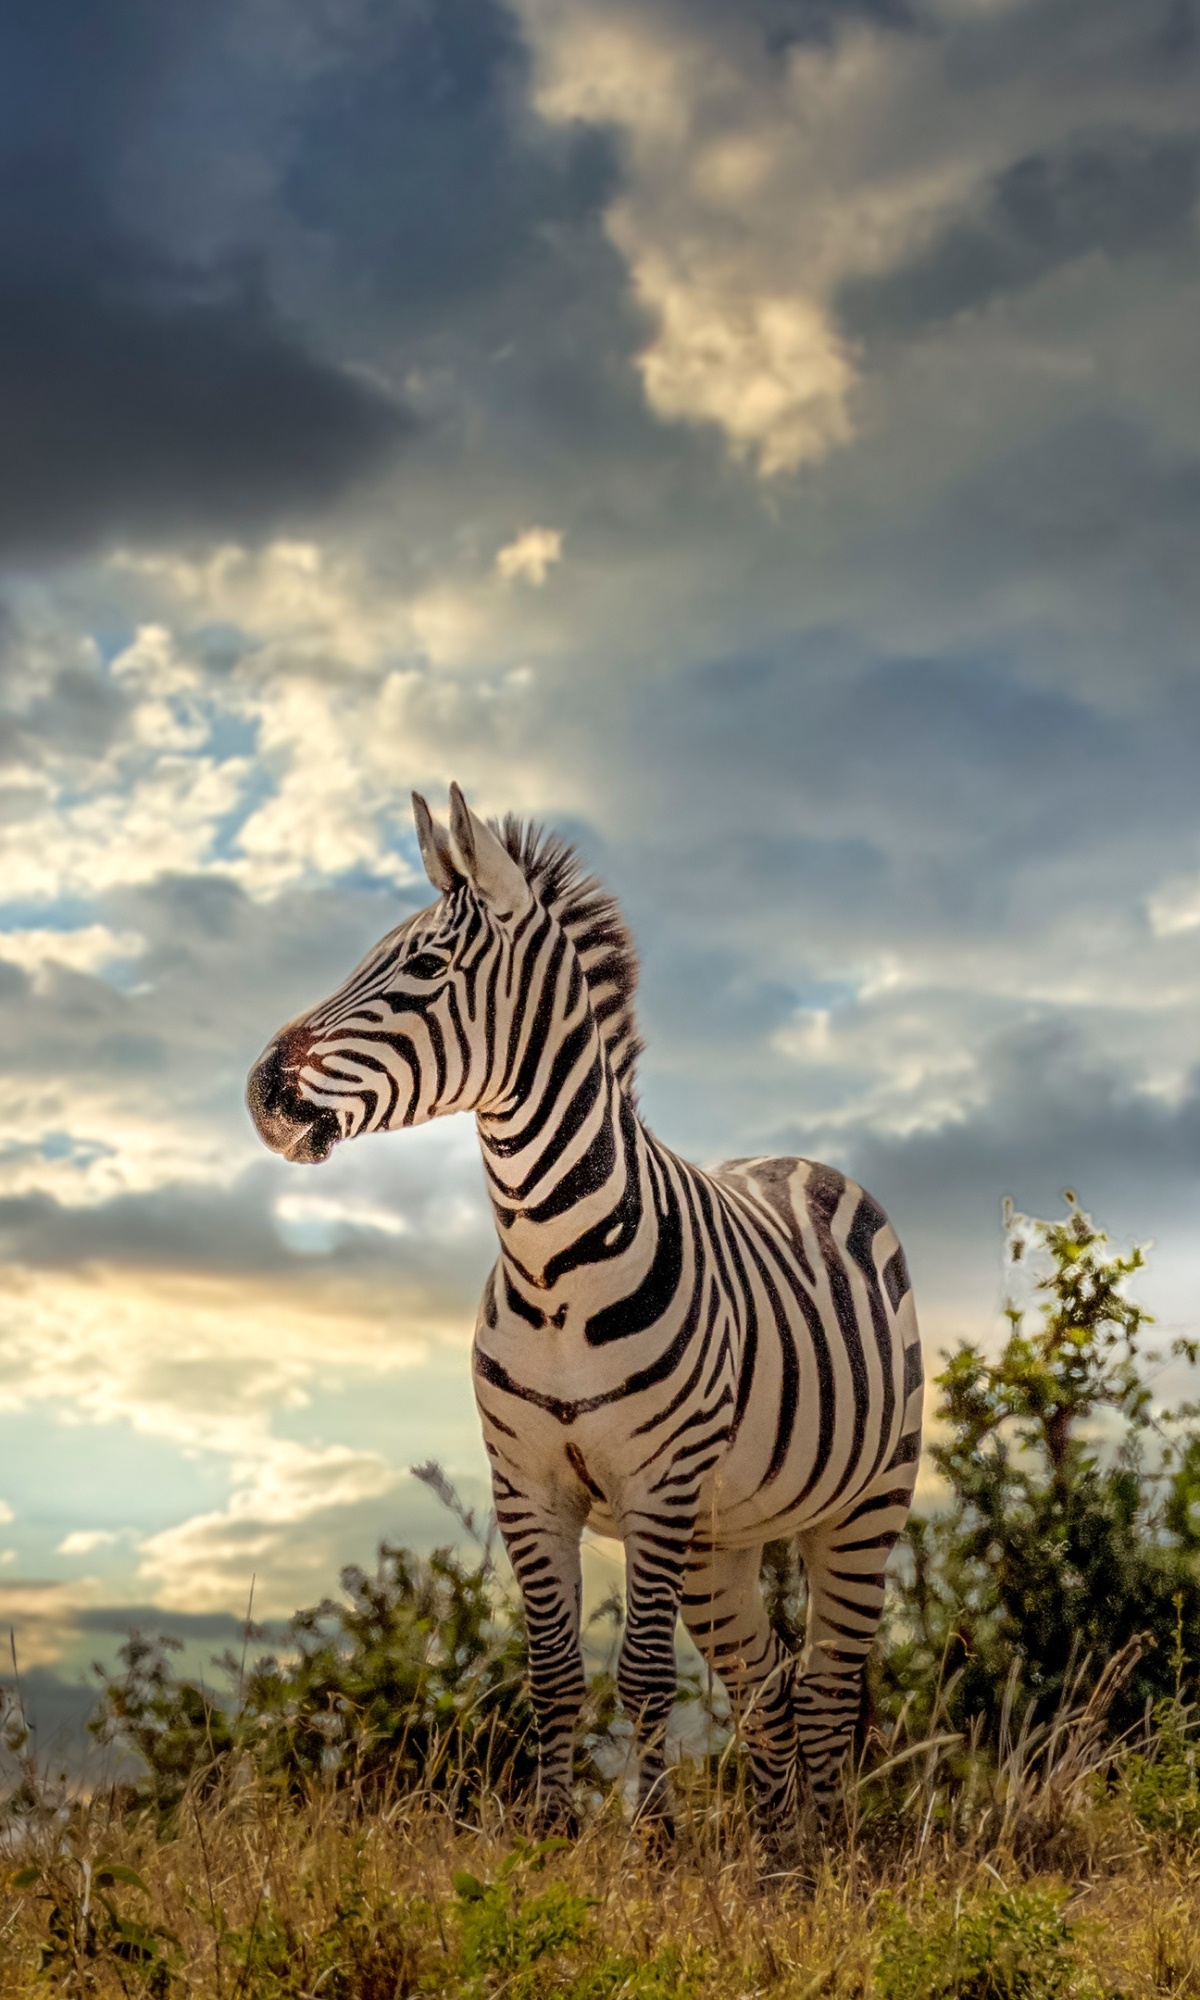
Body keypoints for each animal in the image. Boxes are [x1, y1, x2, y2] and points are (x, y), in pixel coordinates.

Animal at [247, 784, 923, 1845]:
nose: (263, 1094)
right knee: (766, 1682)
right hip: (723, 1535)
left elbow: (641, 1678)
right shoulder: (528, 1485)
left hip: (863, 1505)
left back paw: (833, 1853)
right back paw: (779, 1857)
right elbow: (554, 1674)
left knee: (822, 1687)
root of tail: (797, 1162)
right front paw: (549, 1837)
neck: (554, 1263)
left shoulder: (658, 1485)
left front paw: (656, 1846)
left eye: (426, 967)